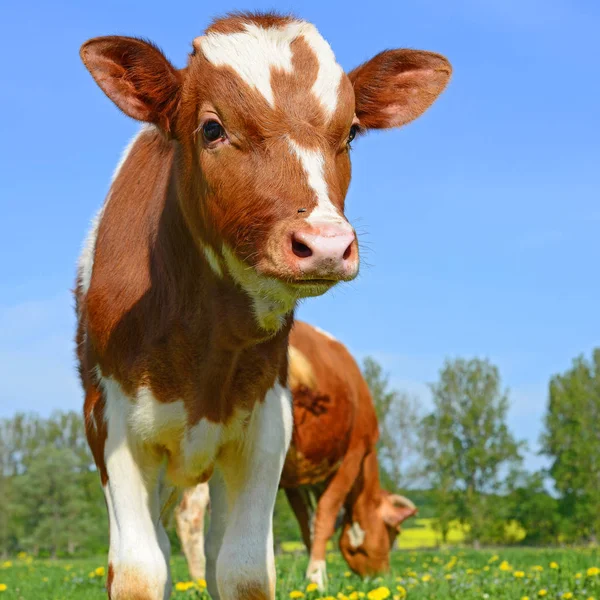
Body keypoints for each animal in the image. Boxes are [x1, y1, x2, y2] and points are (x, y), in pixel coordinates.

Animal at [175, 322, 418, 588]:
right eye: (393, 532)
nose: (383, 575)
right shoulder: (353, 455)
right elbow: (325, 515)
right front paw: (317, 577)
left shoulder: (296, 479)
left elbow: (305, 524)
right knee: (191, 512)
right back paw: (201, 579)